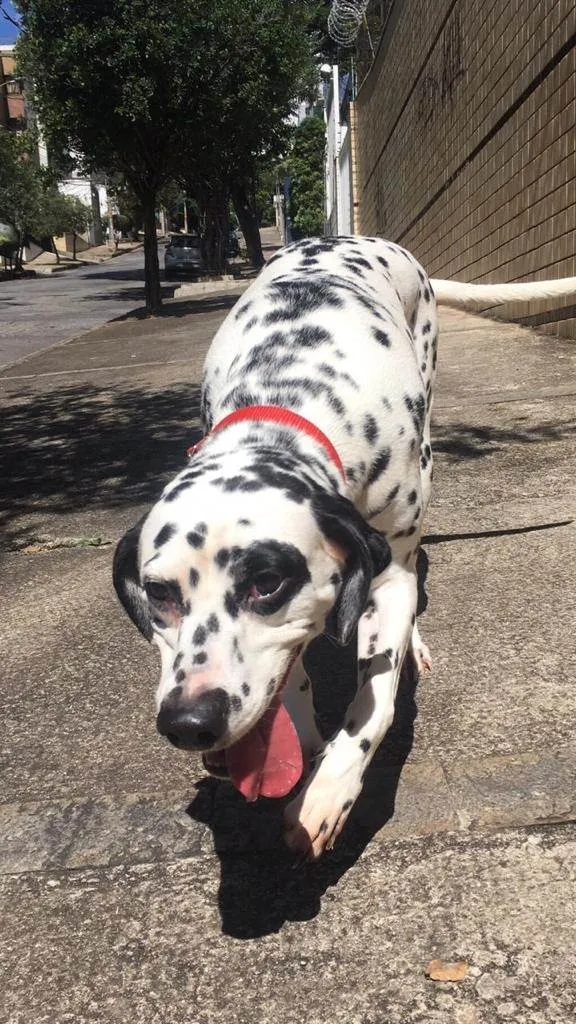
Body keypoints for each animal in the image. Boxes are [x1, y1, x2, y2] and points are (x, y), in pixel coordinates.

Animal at [112, 237, 573, 856]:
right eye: (158, 593)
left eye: (267, 583)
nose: (188, 723)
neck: (292, 399)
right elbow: (293, 680)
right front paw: (306, 741)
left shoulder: (390, 575)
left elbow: (373, 701)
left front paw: (327, 792)